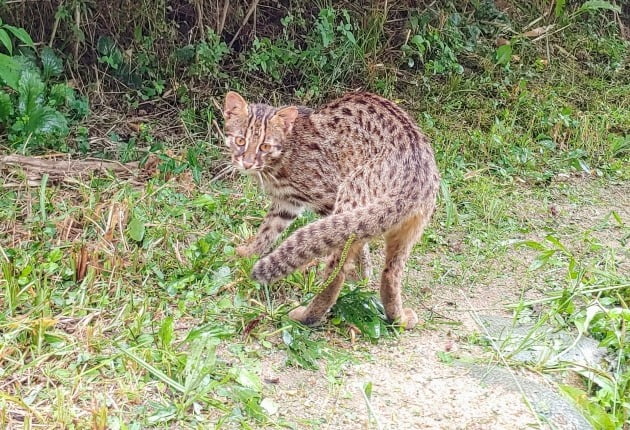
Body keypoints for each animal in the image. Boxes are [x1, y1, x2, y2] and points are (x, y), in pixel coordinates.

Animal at [222, 90, 440, 330]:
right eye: (240, 140)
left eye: (265, 147)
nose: (247, 163)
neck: (285, 152)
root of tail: (415, 178)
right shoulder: (287, 204)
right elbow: (267, 231)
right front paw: (247, 253)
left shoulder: (327, 198)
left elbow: (358, 252)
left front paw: (361, 275)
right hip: (409, 227)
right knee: (391, 273)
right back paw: (398, 318)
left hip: (351, 196)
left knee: (337, 271)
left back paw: (307, 316)